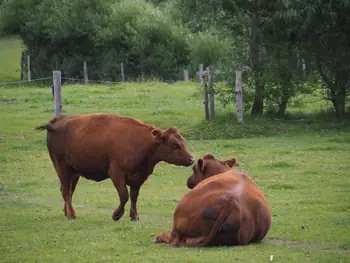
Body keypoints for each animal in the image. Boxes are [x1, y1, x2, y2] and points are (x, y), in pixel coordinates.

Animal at [36, 113, 194, 221]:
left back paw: (66, 212)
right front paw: (116, 215)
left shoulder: (139, 177)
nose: (191, 159)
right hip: (62, 167)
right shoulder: (116, 173)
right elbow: (124, 195)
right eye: (175, 145)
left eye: (184, 142)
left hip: (74, 172)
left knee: (68, 190)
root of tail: (57, 120)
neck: (141, 142)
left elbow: (134, 196)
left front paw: (134, 217)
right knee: (66, 191)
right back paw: (72, 214)